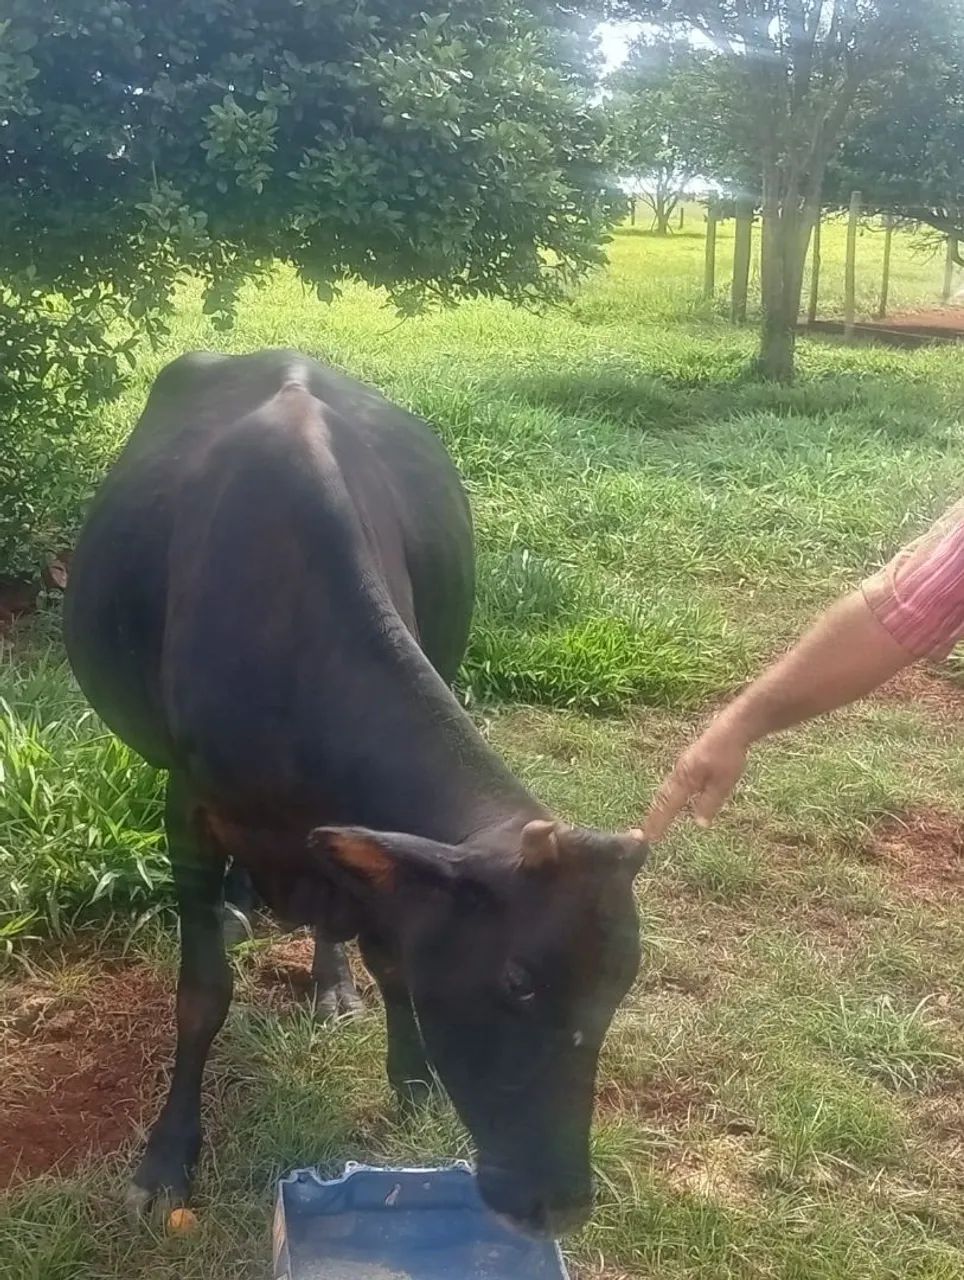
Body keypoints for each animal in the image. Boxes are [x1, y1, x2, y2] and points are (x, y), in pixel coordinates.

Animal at [63, 350, 646, 1237]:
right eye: (517, 980)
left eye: (620, 986)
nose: (562, 1205)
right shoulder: (187, 805)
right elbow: (203, 993)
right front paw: (166, 1158)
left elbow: (392, 953)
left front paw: (411, 1079)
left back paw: (330, 981)